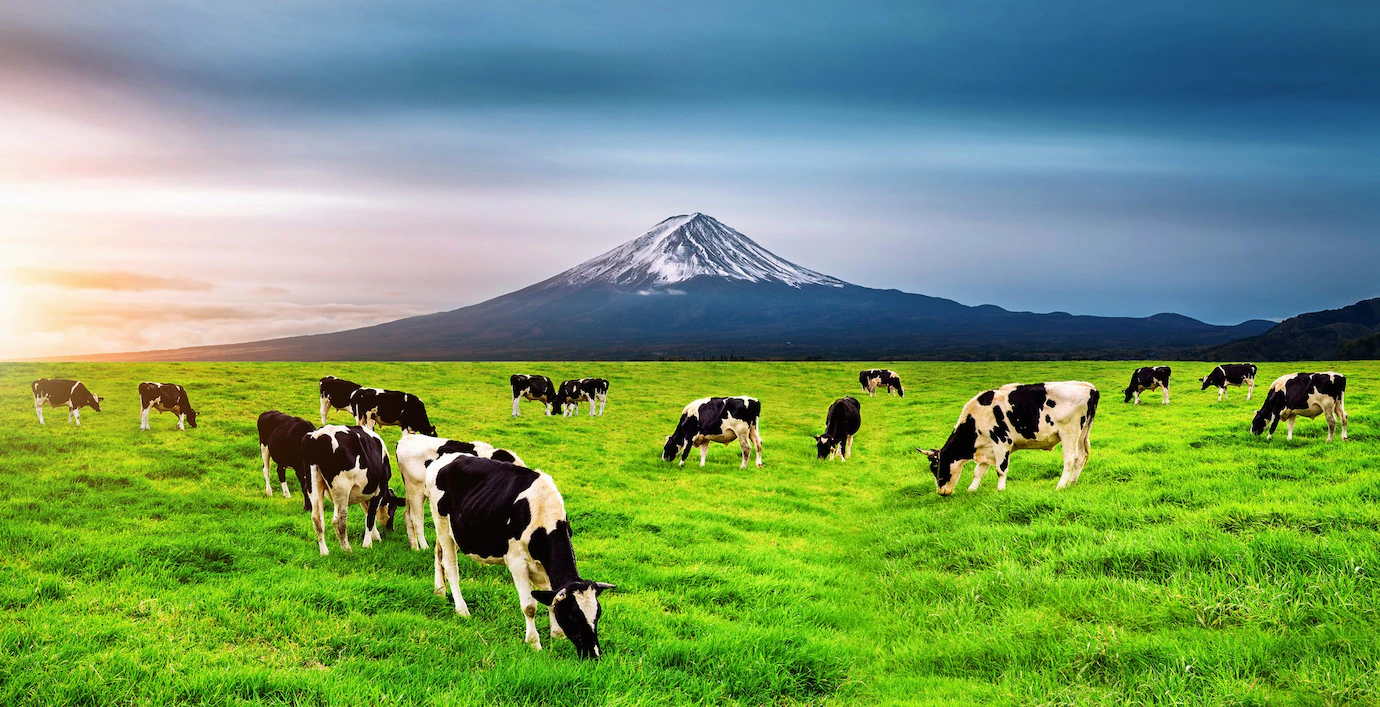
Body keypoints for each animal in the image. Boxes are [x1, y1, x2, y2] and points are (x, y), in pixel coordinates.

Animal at [302, 422, 402, 555]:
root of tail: (316, 436)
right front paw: (368, 544)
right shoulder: (378, 491)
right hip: (341, 487)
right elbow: (370, 517)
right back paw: (347, 549)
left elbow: (368, 513)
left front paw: (375, 537)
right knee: (339, 520)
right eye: (393, 508)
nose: (391, 528)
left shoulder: (364, 493)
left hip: (313, 484)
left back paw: (324, 553)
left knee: (317, 518)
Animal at [422, 452, 612, 657]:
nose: (594, 654)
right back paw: (462, 609)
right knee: (450, 566)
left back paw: (439, 591)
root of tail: (447, 457)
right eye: (573, 616)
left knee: (438, 554)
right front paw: (534, 643)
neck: (543, 515)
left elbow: (551, 598)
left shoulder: (544, 567)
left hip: (456, 530)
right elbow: (529, 606)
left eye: (597, 615)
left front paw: (557, 635)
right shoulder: (517, 562)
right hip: (441, 522)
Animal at [916, 381, 1098, 497]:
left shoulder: (1001, 443)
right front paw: (972, 489)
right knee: (1081, 458)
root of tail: (1090, 387)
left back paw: (1060, 486)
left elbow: (1000, 469)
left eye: (935, 467)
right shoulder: (987, 448)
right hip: (1082, 434)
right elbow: (978, 471)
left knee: (1070, 459)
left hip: (1069, 432)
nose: (941, 492)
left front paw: (1000, 489)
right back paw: (1072, 483)